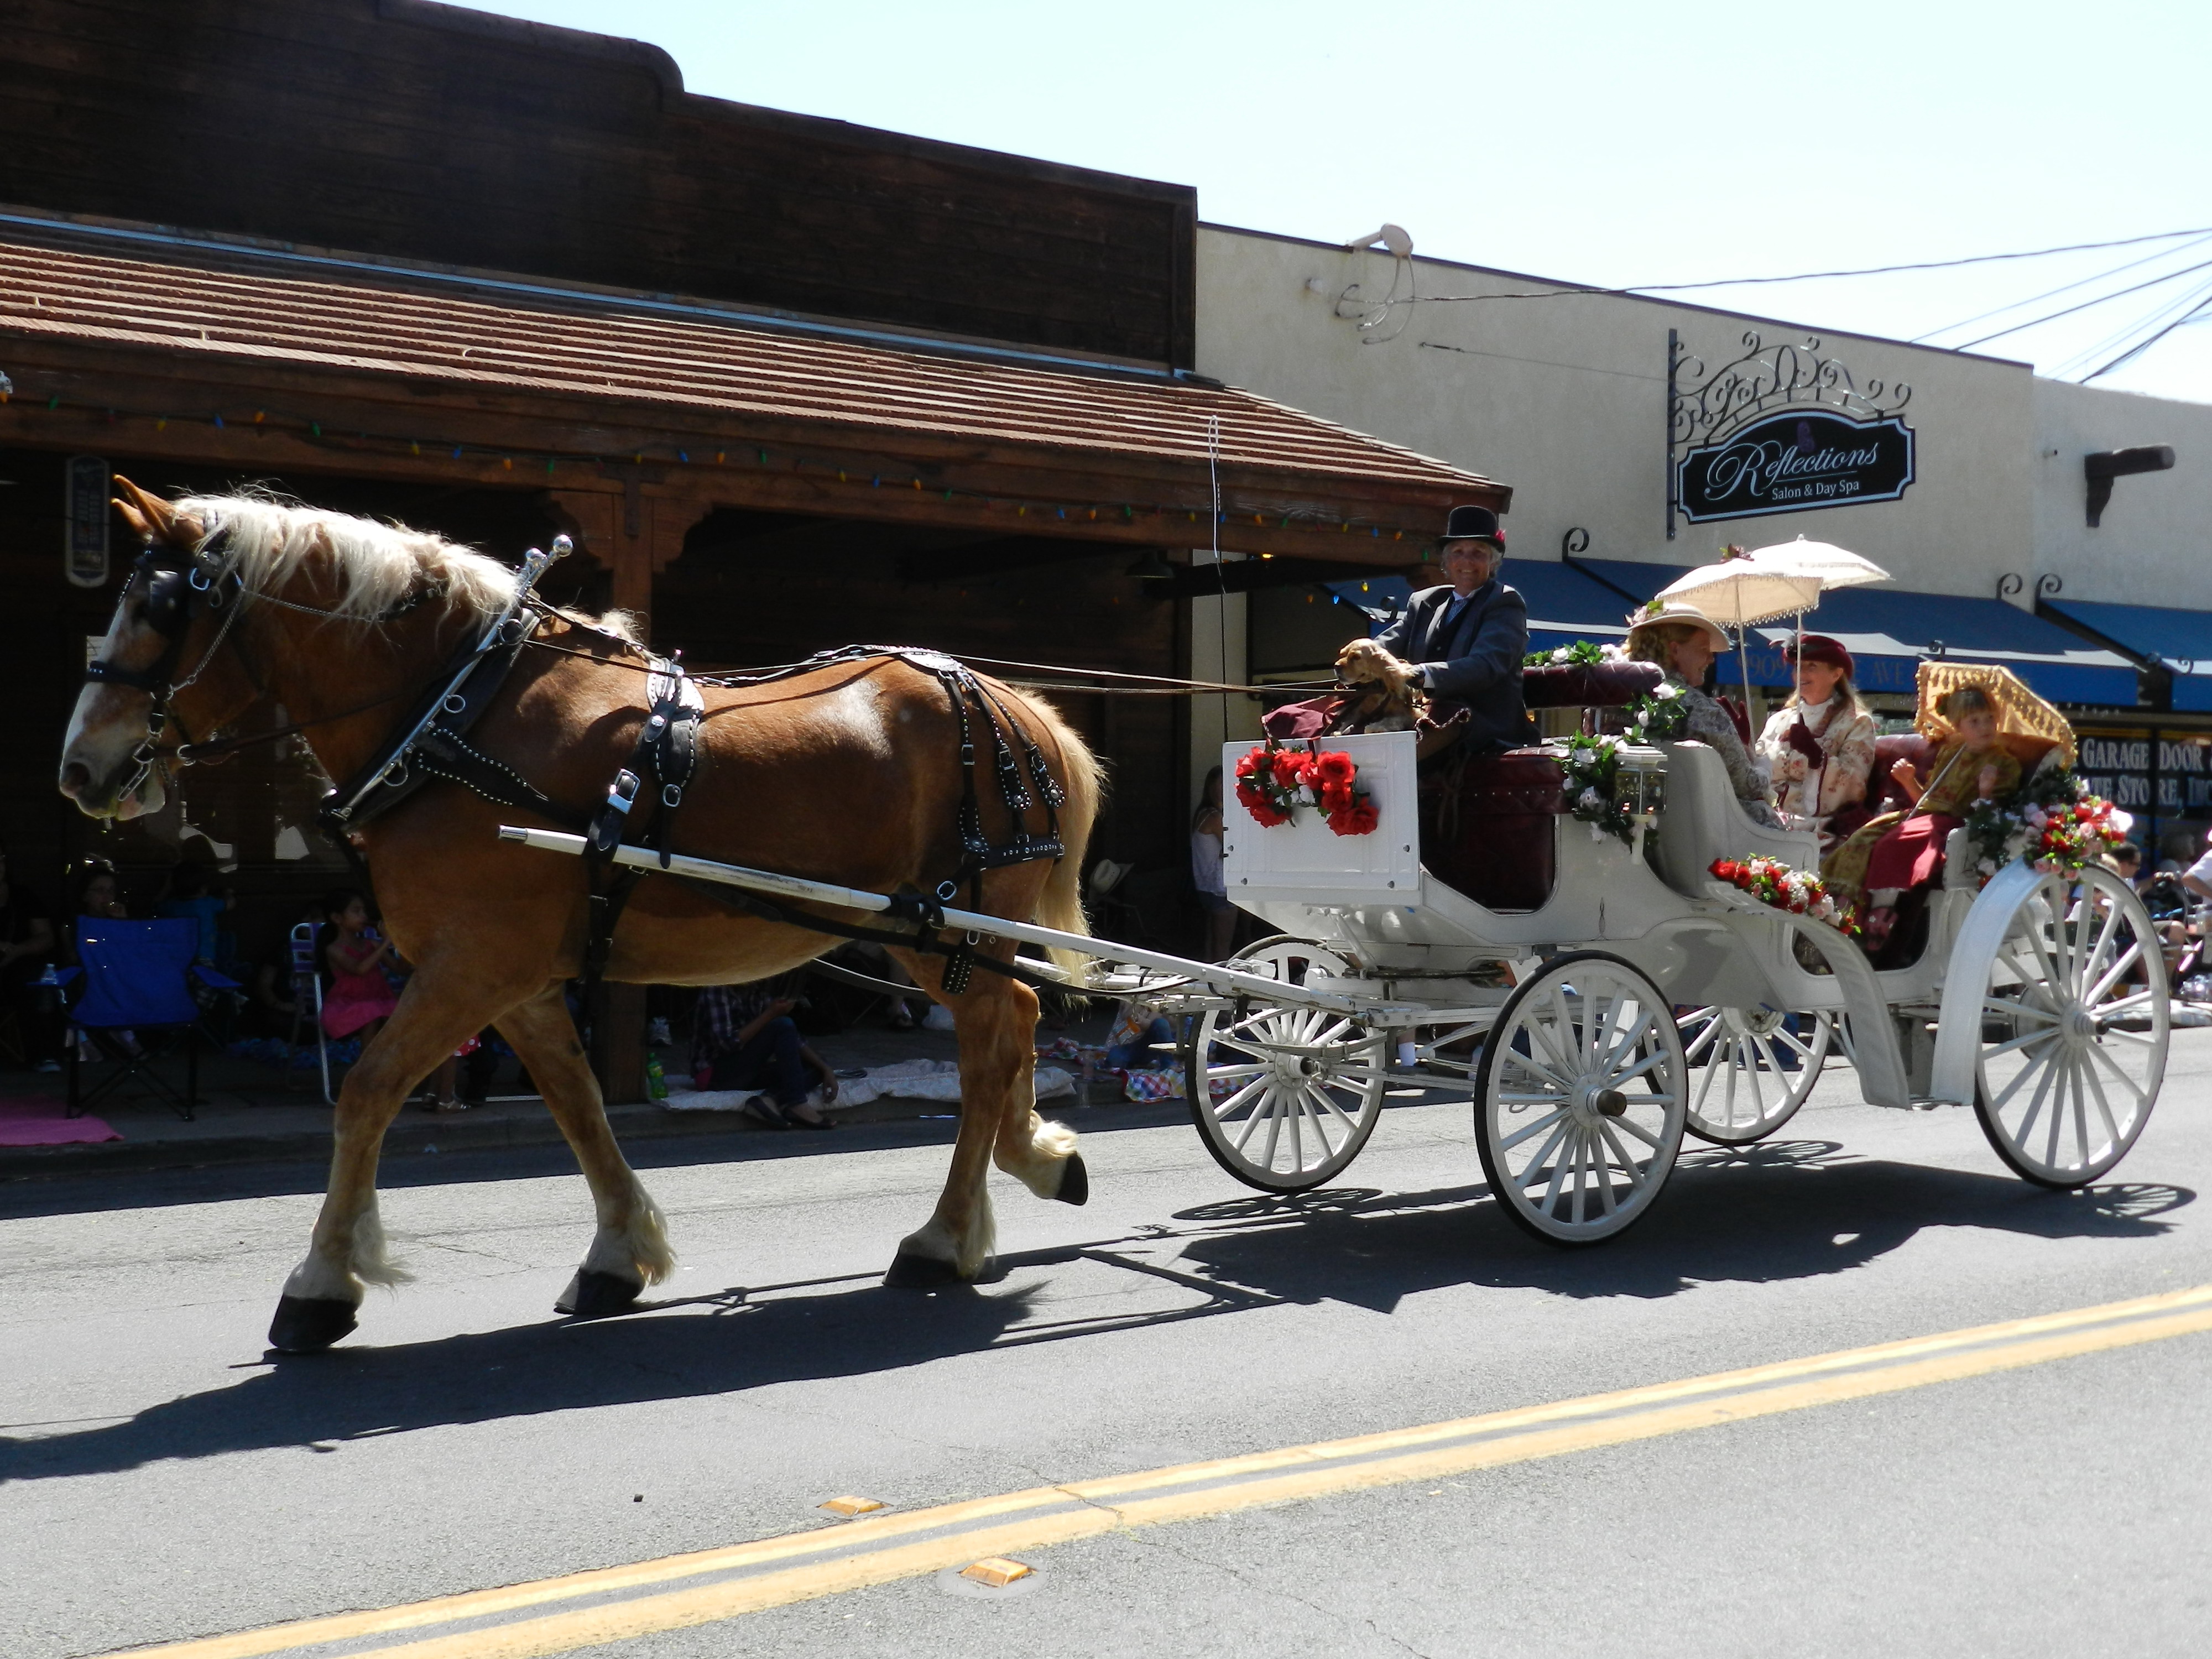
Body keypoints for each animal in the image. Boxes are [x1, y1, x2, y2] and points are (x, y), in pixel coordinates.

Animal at [65, 480, 1102, 1354]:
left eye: (161, 609)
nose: (80, 767)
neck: (457, 712)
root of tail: (1020, 708)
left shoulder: (473, 963)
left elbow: (367, 1092)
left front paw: (322, 1284)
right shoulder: (513, 977)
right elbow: (577, 1102)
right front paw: (618, 1255)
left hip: (957, 926)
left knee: (988, 1048)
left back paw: (942, 1237)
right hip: (929, 935)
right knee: (1011, 1025)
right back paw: (1031, 1163)